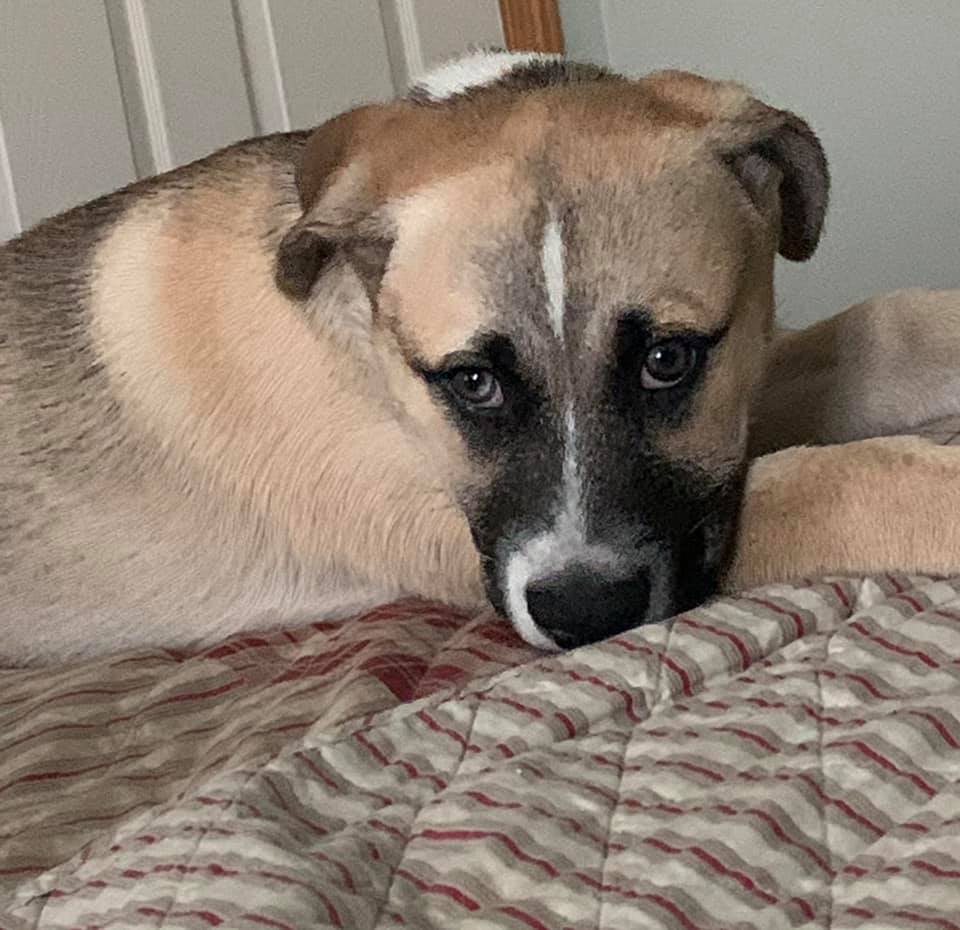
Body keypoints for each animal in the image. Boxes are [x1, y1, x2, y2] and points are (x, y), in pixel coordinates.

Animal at [2, 51, 957, 666]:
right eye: (472, 381)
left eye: (668, 358)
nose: (583, 617)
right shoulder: (446, 533)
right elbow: (848, 479)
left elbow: (891, 327)